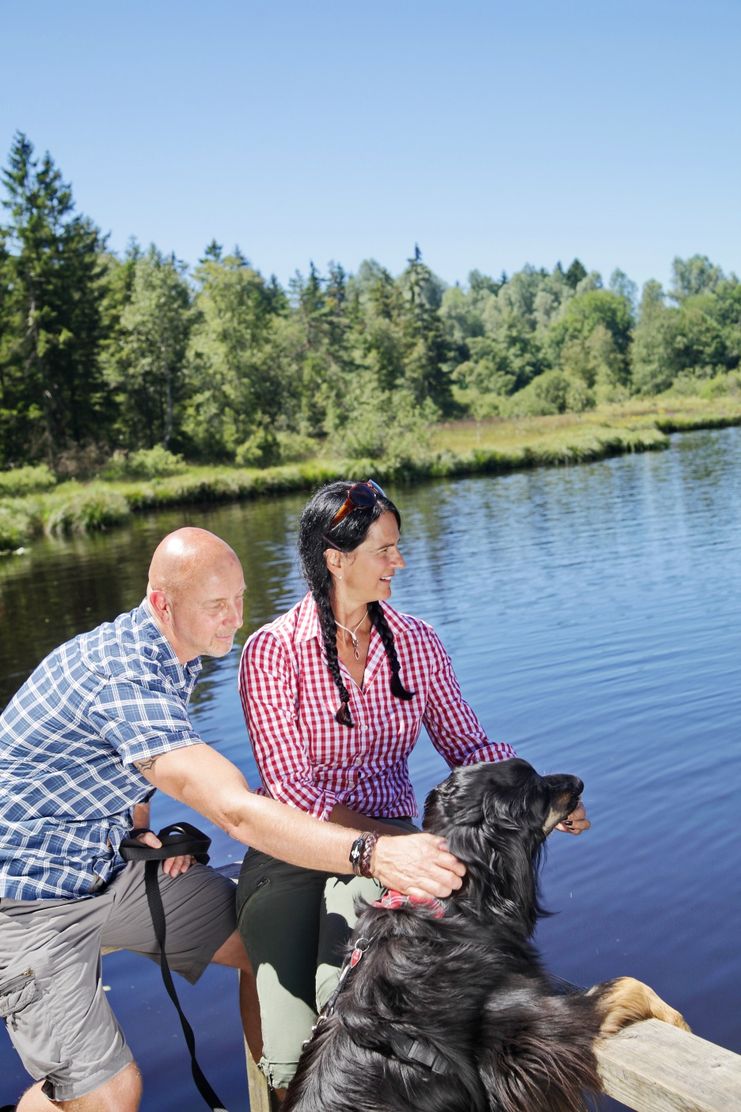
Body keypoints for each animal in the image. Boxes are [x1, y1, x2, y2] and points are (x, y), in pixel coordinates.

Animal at [282, 756, 685, 1112]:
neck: (453, 904)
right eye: (536, 788)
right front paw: (677, 1019)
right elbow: (624, 985)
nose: (578, 782)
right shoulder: (527, 1032)